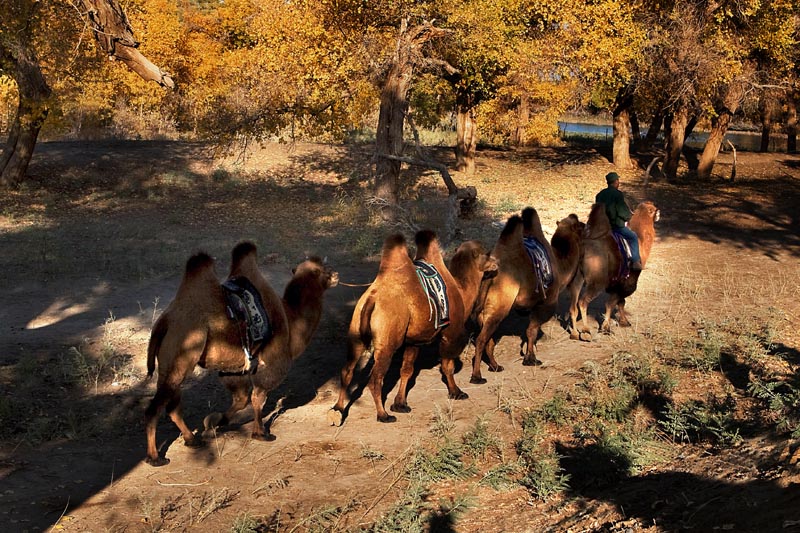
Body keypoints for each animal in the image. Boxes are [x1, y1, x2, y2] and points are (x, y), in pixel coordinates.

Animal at [144, 239, 338, 464]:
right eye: (322, 270)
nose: (336, 274)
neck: (292, 321)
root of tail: (164, 322)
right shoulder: (272, 362)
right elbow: (258, 397)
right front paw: (261, 433)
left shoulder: (233, 368)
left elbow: (242, 398)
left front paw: (216, 421)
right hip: (182, 353)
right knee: (155, 408)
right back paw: (155, 457)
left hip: (171, 362)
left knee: (172, 405)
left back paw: (192, 439)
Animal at [328, 229, 496, 424]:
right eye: (487, 253)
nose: (496, 264)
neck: (461, 292)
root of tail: (372, 298)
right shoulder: (451, 332)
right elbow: (448, 365)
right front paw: (457, 392)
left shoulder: (414, 340)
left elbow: (406, 370)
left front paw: (400, 404)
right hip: (387, 341)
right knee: (376, 379)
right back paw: (383, 415)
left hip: (356, 334)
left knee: (347, 371)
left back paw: (337, 410)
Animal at [468, 207, 588, 382]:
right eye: (580, 225)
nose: (587, 227)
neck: (560, 266)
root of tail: (488, 273)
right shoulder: (547, 302)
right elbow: (532, 331)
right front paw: (531, 359)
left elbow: (530, 331)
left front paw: (529, 357)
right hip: (499, 306)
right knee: (481, 339)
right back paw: (477, 376)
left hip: (483, 311)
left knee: (488, 339)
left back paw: (495, 366)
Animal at [564, 200, 660, 340]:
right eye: (653, 209)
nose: (659, 213)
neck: (641, 240)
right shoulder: (629, 280)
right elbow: (612, 303)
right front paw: (606, 327)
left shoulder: (616, 282)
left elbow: (620, 302)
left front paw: (624, 322)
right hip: (597, 282)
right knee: (582, 302)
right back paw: (586, 332)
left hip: (577, 279)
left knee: (573, 306)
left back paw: (575, 333)